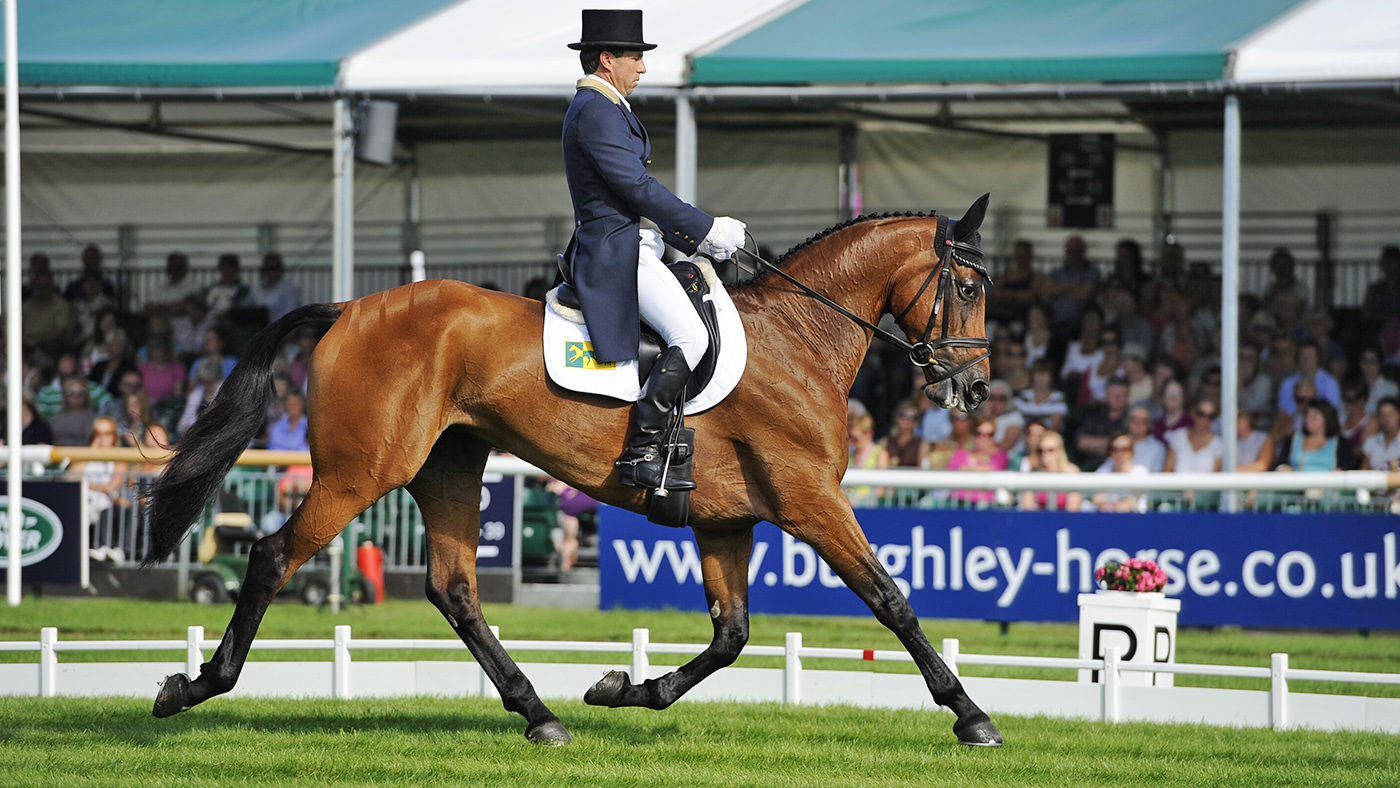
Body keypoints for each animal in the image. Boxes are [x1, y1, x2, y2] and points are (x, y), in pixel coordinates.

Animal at [143, 194, 1003, 747]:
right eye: (965, 287)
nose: (974, 389)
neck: (799, 339)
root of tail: (350, 307)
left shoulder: (728, 519)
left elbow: (731, 635)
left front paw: (625, 690)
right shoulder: (810, 501)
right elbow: (892, 601)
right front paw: (971, 716)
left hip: (449, 468)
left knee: (454, 590)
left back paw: (539, 714)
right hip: (361, 473)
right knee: (272, 555)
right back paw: (196, 685)